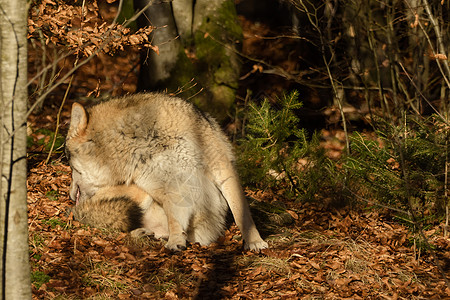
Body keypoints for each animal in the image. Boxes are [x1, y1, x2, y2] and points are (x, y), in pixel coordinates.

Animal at [67, 92, 268, 251]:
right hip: (140, 195)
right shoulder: (169, 187)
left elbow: (242, 214)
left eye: (70, 164)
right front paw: (176, 241)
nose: (69, 195)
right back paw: (144, 233)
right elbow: (174, 218)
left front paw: (255, 242)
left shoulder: (222, 170)